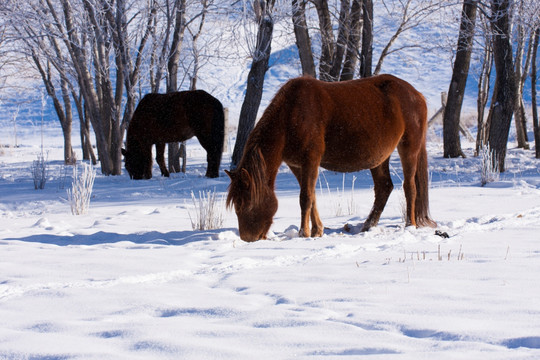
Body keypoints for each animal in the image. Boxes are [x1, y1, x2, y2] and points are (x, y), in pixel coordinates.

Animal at [226, 74, 436, 242]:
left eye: (247, 202)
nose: (248, 238)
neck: (290, 116)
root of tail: (417, 95)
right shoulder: (297, 165)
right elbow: (311, 195)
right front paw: (317, 230)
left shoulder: (311, 159)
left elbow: (305, 197)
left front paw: (304, 233)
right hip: (380, 157)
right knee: (384, 187)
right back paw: (368, 226)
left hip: (409, 147)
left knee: (410, 187)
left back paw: (410, 224)